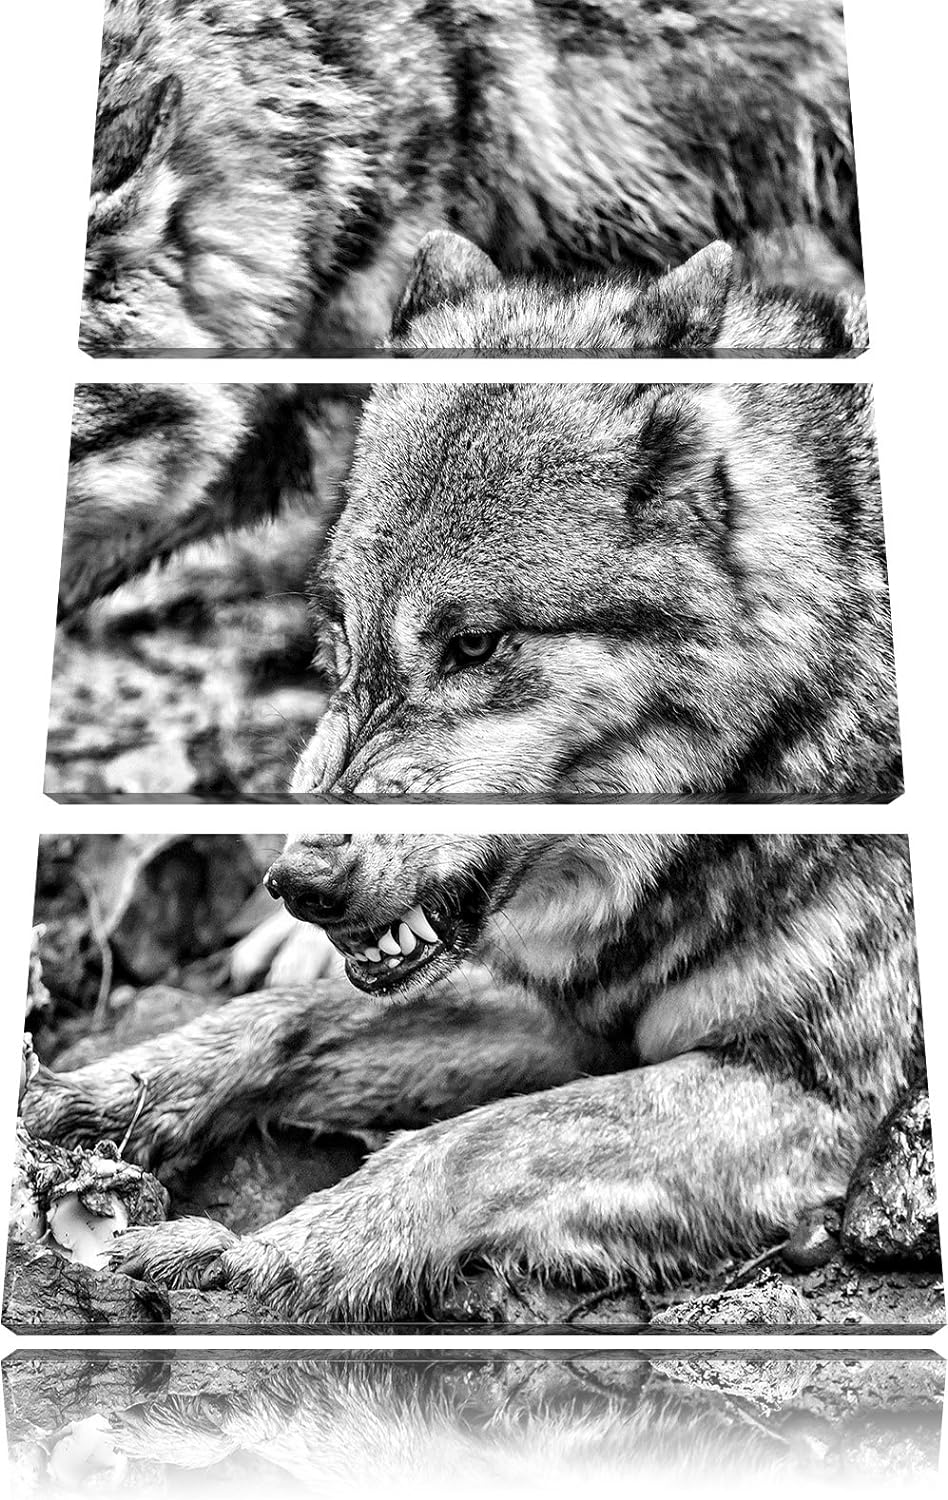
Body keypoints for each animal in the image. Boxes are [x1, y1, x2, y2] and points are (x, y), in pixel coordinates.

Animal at [25, 834, 923, 1323]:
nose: (295, 886)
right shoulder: (571, 1019)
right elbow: (290, 1020)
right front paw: (94, 1097)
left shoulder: (808, 1097)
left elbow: (474, 1143)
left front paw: (259, 1253)